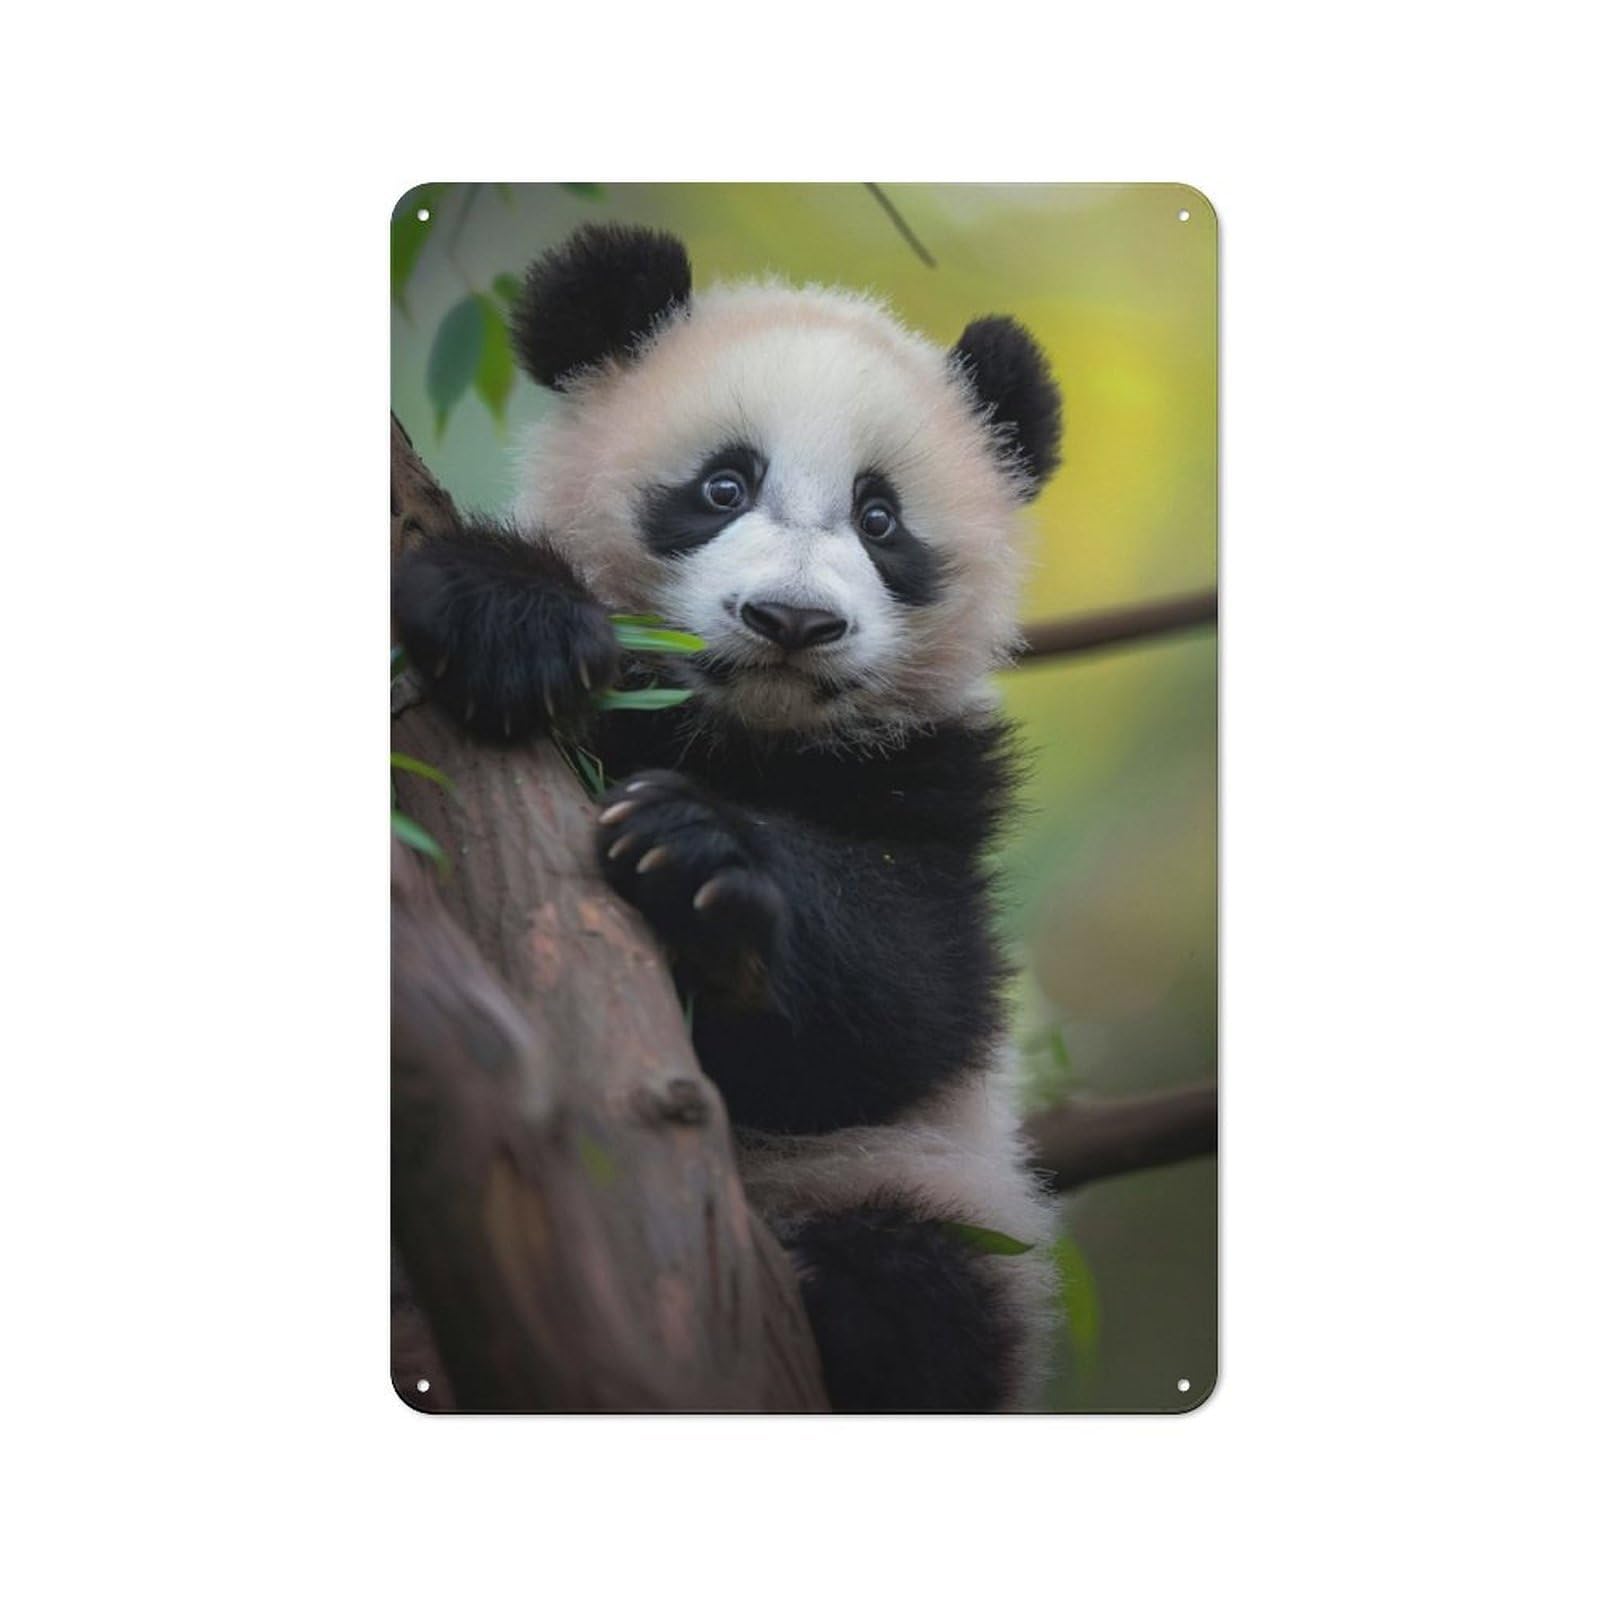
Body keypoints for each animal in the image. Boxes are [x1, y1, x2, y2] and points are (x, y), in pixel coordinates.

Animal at [393, 222, 1065, 1412]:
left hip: (938, 1199)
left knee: (928, 1294)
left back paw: (847, 1295)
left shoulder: (934, 787)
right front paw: (512, 621)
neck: (738, 735)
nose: (791, 621)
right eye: (721, 485)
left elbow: (913, 999)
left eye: (880, 518)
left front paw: (699, 861)